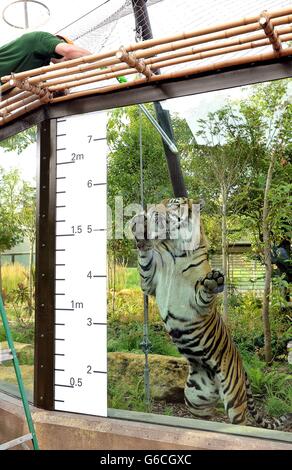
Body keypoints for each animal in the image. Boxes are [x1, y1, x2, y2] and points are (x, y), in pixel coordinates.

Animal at [131, 196, 292, 428]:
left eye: (173, 203)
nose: (153, 209)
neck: (174, 249)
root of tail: (242, 366)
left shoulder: (199, 302)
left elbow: (204, 293)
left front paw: (213, 281)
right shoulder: (149, 283)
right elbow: (145, 263)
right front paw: (140, 230)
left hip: (234, 400)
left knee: (239, 421)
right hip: (194, 398)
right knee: (208, 416)